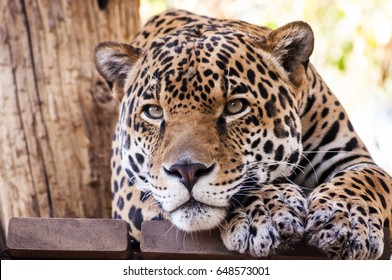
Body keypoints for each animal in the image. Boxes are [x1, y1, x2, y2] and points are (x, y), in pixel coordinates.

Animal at [93, 8, 390, 260]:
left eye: (235, 106)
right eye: (153, 112)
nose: (186, 171)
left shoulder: (352, 157)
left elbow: (367, 180)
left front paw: (345, 221)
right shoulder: (131, 190)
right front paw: (270, 210)